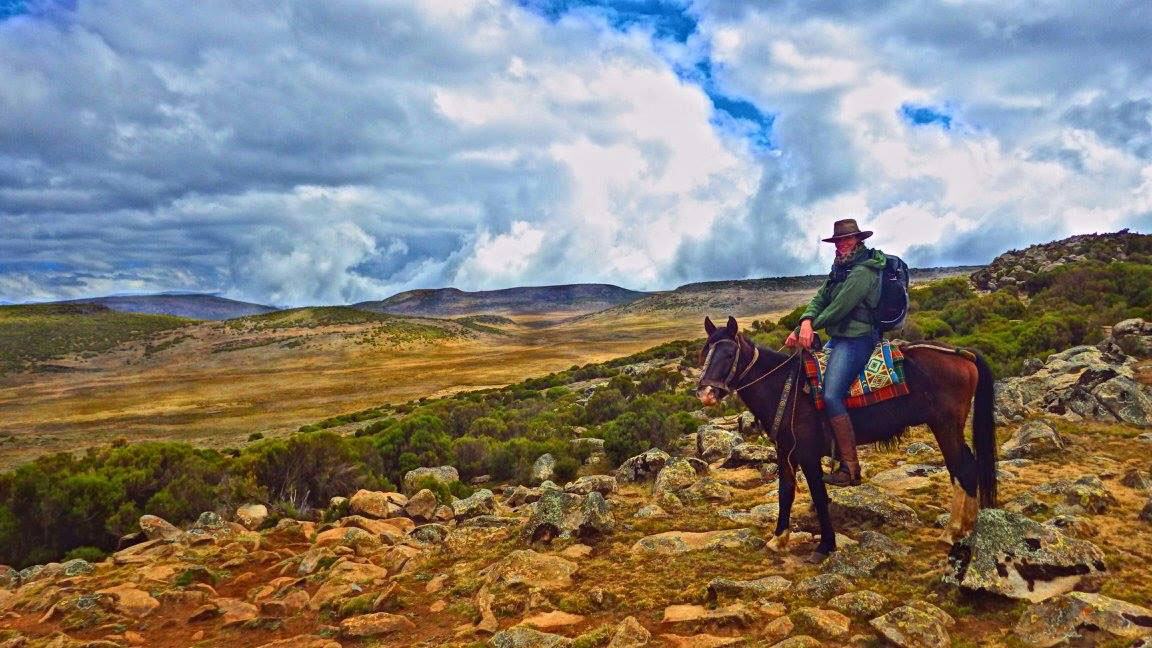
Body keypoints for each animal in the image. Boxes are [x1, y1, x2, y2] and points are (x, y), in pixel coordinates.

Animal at [691, 315, 999, 560]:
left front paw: (825, 546)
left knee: (964, 469)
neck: (785, 387)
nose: (705, 393)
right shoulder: (785, 451)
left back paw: (953, 532)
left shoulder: (807, 454)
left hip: (945, 426)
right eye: (704, 353)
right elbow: (785, 492)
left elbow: (819, 495)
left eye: (729, 354)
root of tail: (964, 354)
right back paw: (965, 527)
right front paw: (778, 539)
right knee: (965, 468)